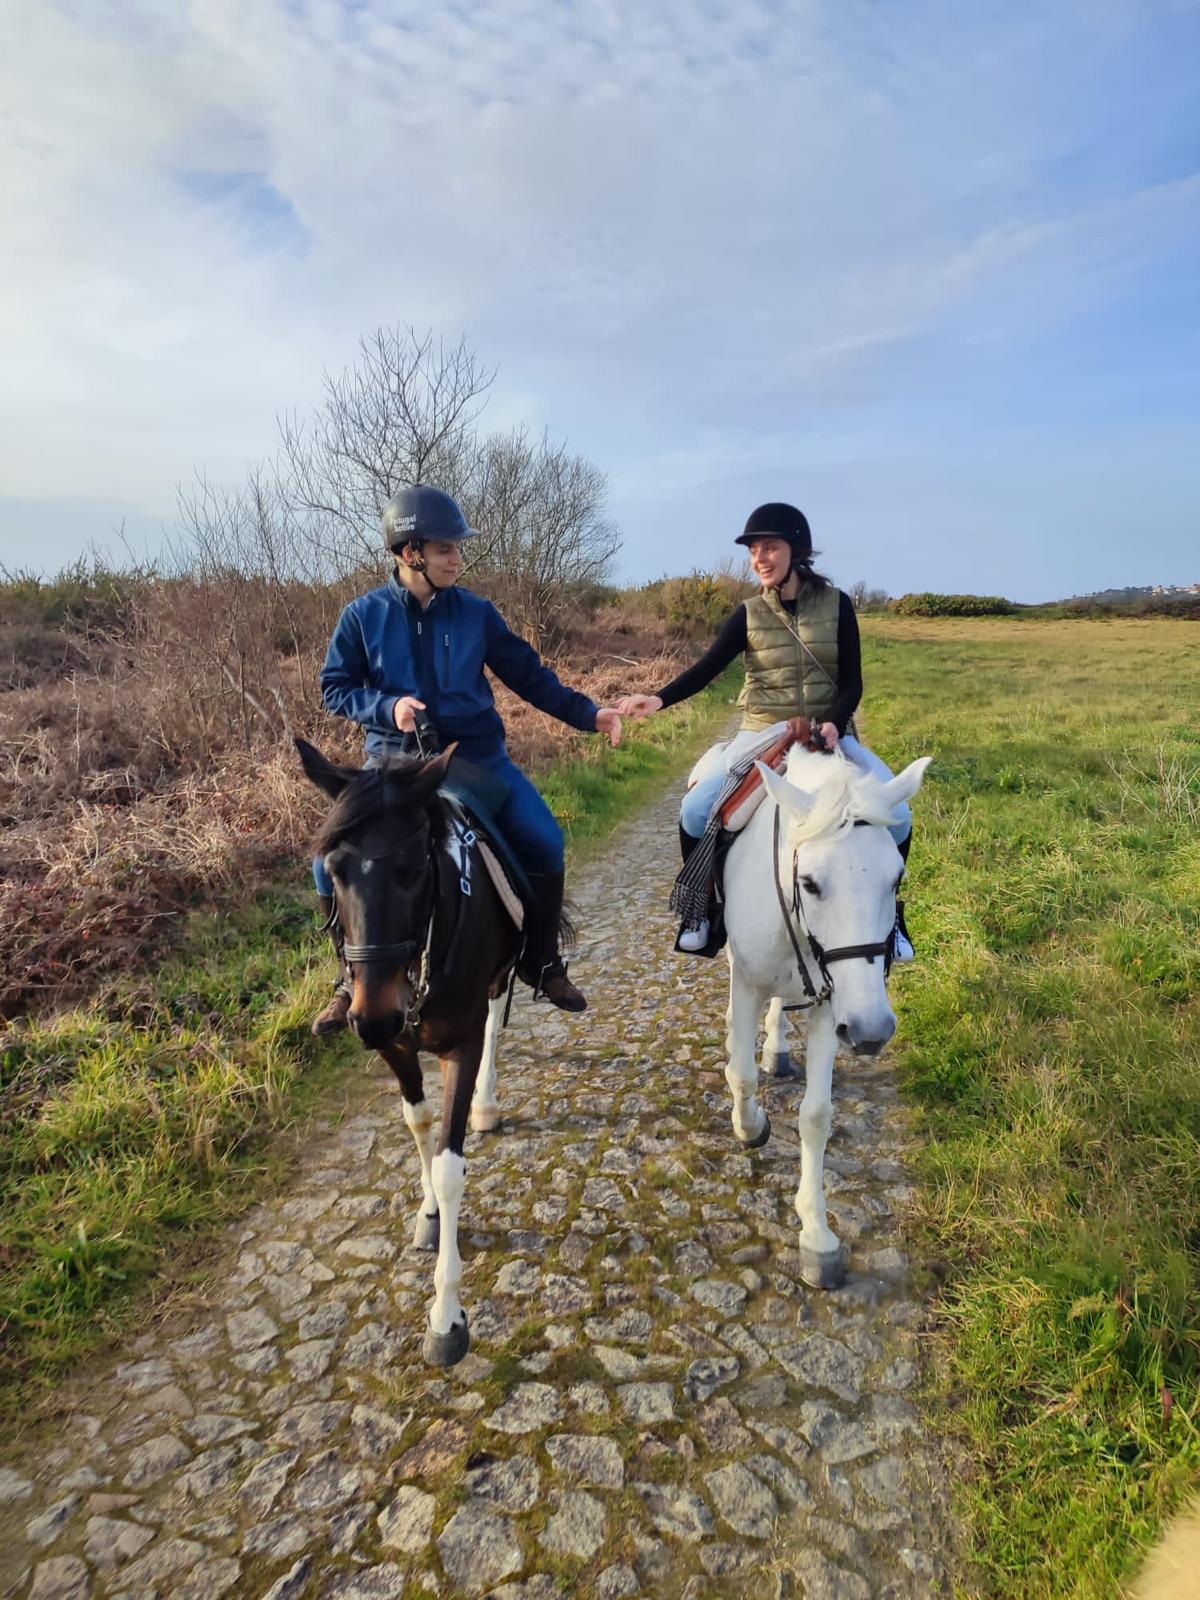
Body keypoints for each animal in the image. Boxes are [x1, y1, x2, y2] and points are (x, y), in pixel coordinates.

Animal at [297, 738, 522, 1366]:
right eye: (335, 871)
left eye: (416, 869)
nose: (371, 1016)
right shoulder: (396, 1046)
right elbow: (417, 1123)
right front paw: (427, 1214)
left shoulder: (460, 1043)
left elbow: (449, 1165)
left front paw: (447, 1317)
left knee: (497, 1017)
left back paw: (487, 1104)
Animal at [720, 743, 931, 1288]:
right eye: (810, 883)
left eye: (896, 877)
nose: (872, 1030)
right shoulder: (748, 983)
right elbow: (744, 1077)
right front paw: (749, 1124)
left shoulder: (832, 1006)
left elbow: (815, 1116)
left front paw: (817, 1236)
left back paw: (776, 1048)